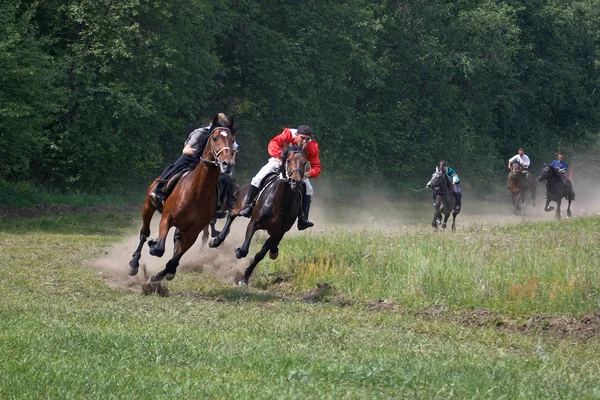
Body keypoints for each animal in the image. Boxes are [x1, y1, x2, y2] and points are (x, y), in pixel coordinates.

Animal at [128, 115, 234, 282]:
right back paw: (134, 263)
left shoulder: (193, 232)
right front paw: (153, 246)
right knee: (144, 232)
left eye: (231, 139)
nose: (227, 164)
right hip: (148, 206)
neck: (197, 192)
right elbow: (159, 248)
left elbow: (174, 258)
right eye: (215, 138)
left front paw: (160, 275)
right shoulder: (167, 218)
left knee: (175, 240)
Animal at [209, 144, 308, 284]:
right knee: (231, 215)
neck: (280, 203)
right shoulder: (254, 223)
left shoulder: (279, 232)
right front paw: (238, 252)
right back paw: (217, 239)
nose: (296, 182)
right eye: (288, 160)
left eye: (304, 162)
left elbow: (260, 255)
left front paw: (245, 277)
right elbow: (244, 250)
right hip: (240, 203)